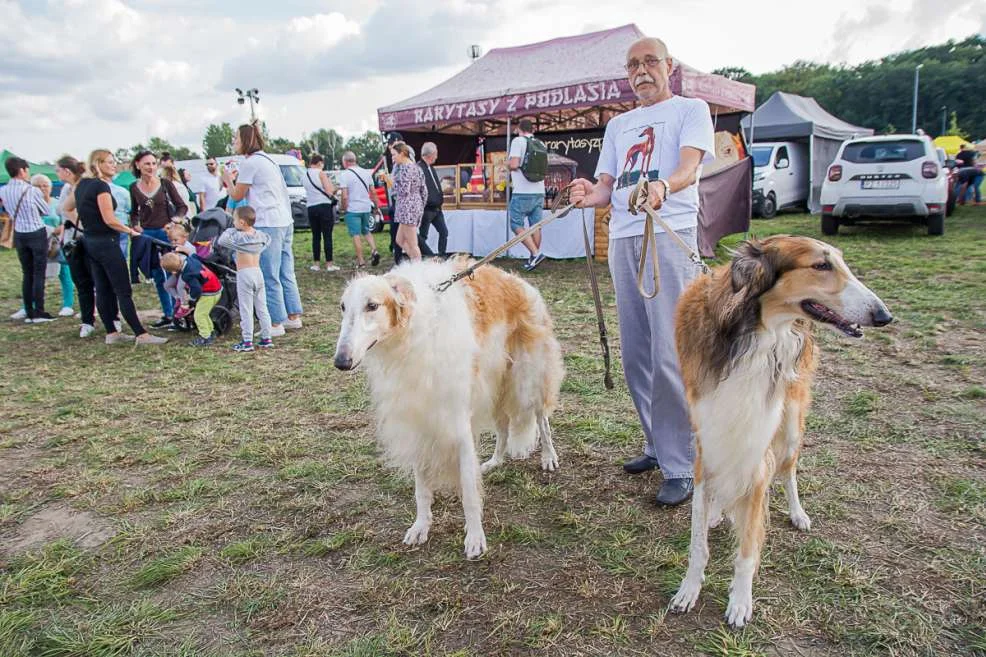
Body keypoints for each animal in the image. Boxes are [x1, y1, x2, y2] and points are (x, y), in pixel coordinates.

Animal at [332, 258, 560, 556]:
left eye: (372, 305)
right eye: (343, 307)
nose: (341, 361)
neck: (413, 335)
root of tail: (520, 282)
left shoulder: (457, 420)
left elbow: (469, 492)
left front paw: (475, 538)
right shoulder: (418, 417)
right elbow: (421, 489)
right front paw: (420, 527)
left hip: (527, 379)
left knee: (542, 420)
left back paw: (548, 457)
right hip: (494, 383)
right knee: (503, 427)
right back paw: (494, 461)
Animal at [668, 236, 892, 624]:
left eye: (840, 262)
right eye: (821, 265)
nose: (884, 316)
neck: (752, 334)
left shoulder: (758, 448)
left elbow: (746, 548)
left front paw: (740, 601)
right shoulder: (707, 440)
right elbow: (698, 539)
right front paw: (689, 589)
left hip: (789, 429)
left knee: (789, 472)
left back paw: (797, 513)